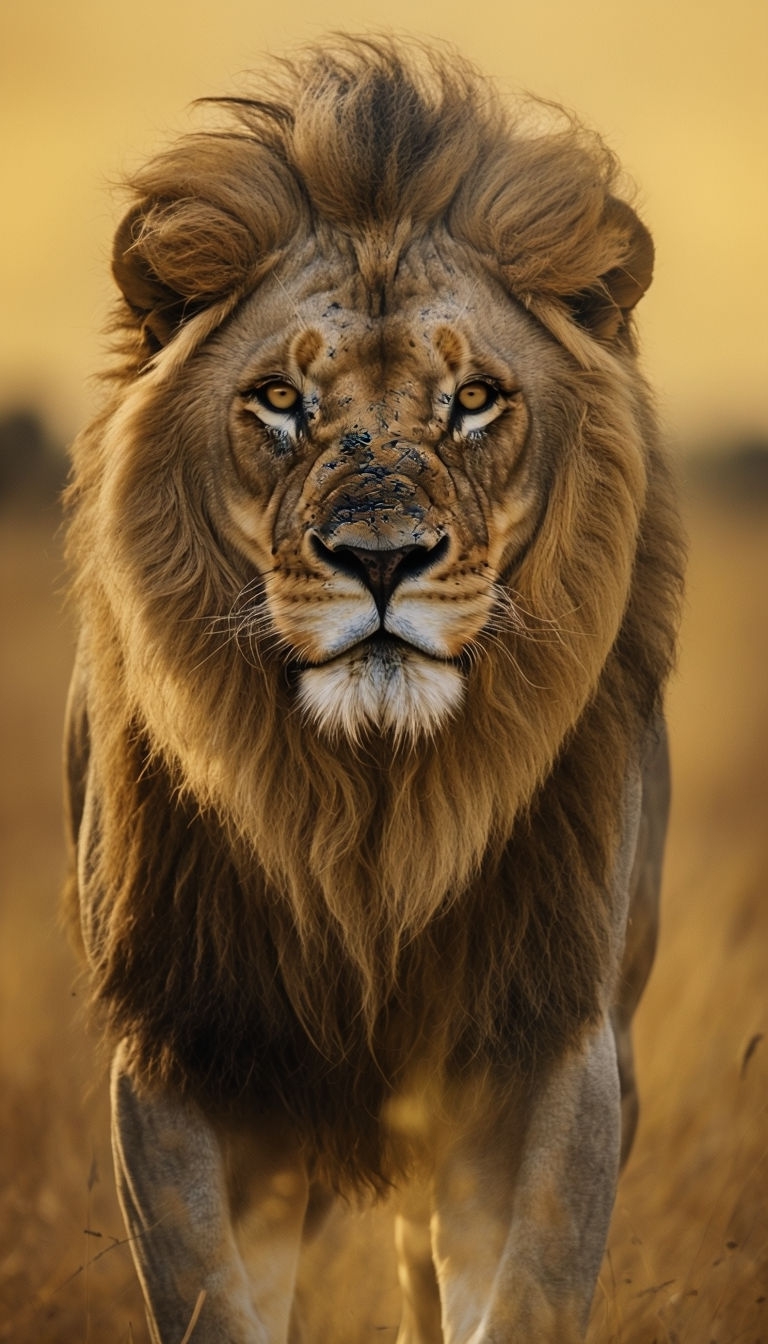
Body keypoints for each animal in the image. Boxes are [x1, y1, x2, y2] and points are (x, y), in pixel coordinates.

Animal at [61, 39, 685, 1344]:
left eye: (476, 399)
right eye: (280, 402)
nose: (383, 558)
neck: (369, 814)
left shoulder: (554, 1049)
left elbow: (526, 1294)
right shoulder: (179, 1053)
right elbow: (212, 1303)